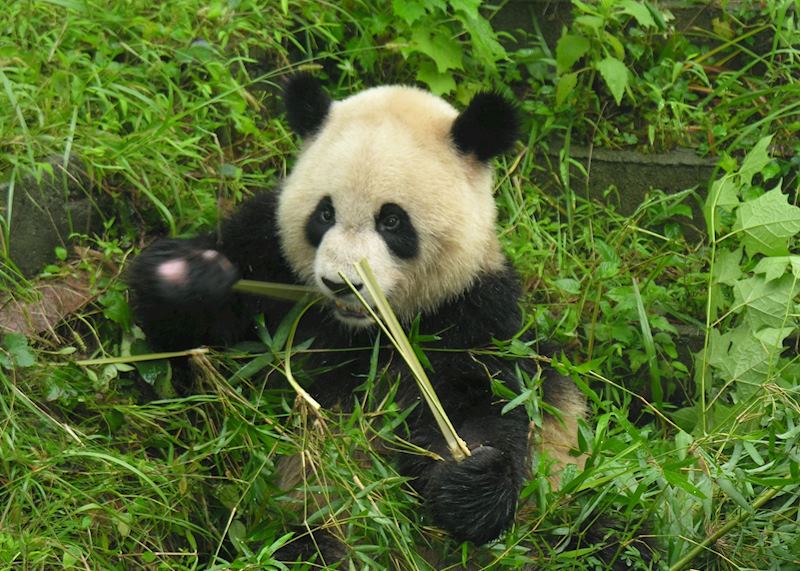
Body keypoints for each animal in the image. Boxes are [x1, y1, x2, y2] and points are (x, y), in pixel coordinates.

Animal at [128, 75, 588, 560]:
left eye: (392, 221)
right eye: (324, 213)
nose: (340, 283)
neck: (364, 331)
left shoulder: (470, 312)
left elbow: (488, 400)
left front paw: (470, 482)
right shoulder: (269, 263)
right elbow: (181, 349)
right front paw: (184, 273)